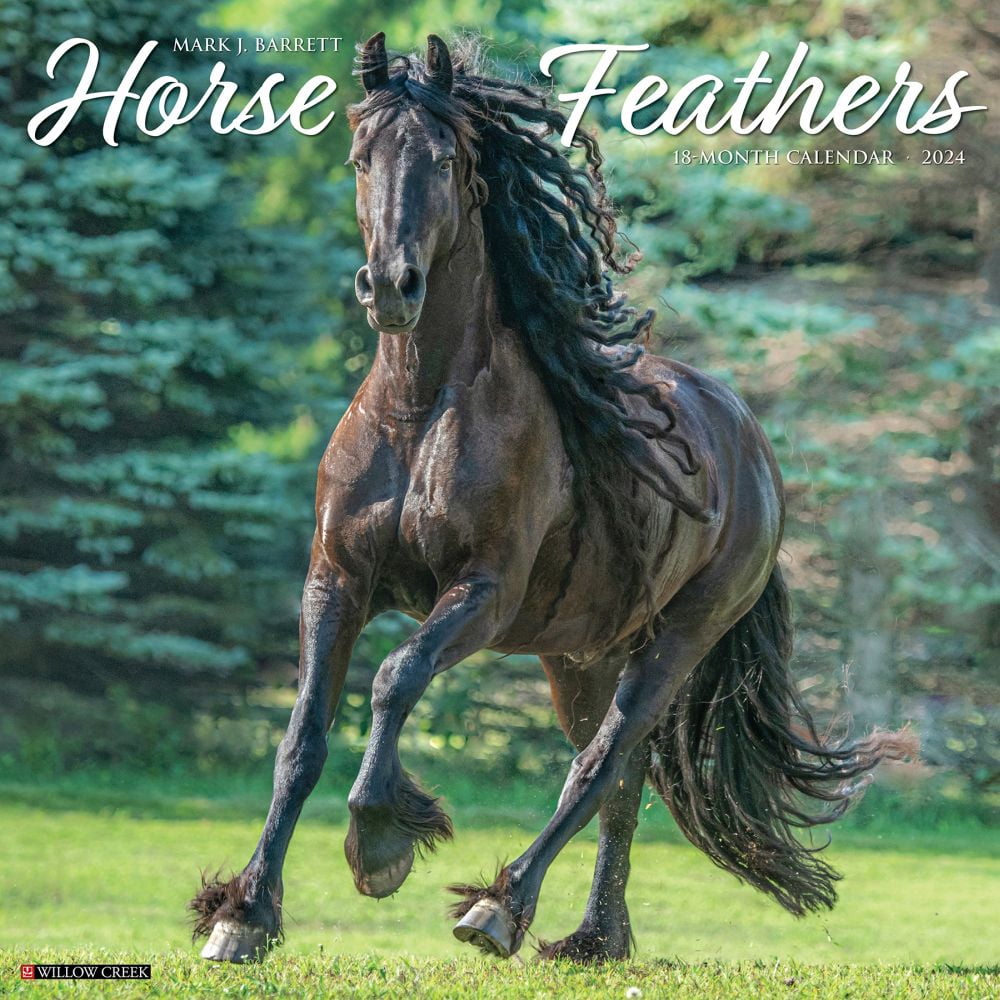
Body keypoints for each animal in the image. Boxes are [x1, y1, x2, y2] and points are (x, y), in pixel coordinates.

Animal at [190, 33, 914, 964]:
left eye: (445, 158)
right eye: (360, 158)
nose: (391, 287)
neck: (418, 411)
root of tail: (752, 450)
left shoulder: (483, 595)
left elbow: (395, 679)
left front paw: (380, 843)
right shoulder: (335, 583)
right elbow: (301, 740)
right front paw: (245, 914)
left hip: (675, 640)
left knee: (601, 763)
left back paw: (501, 908)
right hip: (581, 655)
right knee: (622, 779)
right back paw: (596, 937)